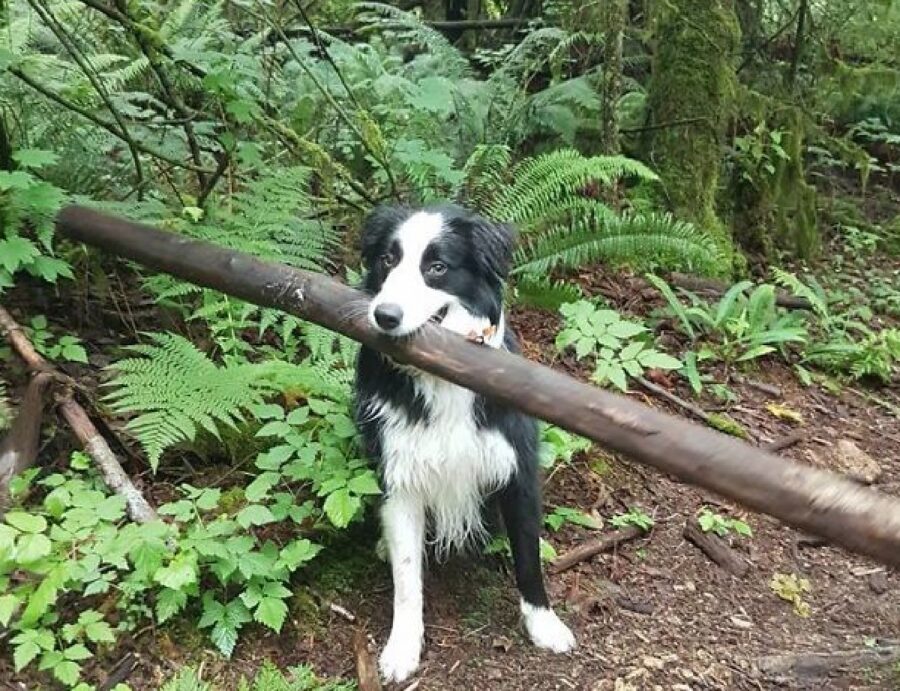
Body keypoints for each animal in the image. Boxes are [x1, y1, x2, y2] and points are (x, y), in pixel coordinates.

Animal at [354, 204, 576, 680]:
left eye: (437, 267)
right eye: (387, 260)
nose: (384, 315)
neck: (444, 375)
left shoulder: (517, 468)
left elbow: (528, 555)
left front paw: (543, 624)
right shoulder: (401, 477)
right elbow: (407, 579)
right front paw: (403, 647)